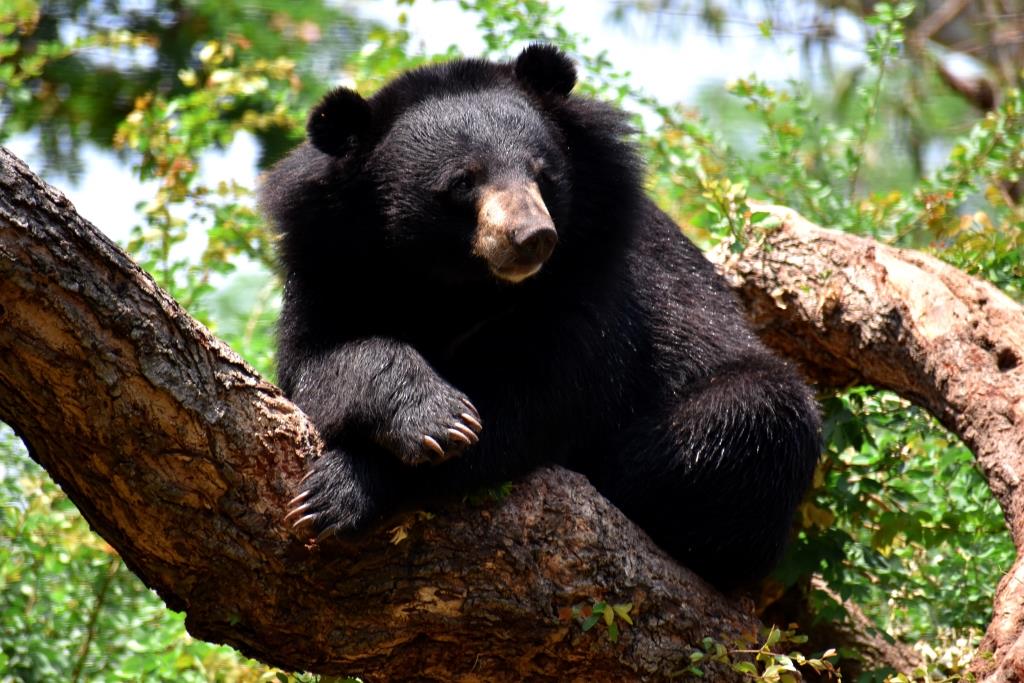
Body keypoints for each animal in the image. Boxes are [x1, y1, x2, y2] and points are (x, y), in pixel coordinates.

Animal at [260, 44, 821, 590]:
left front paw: (347, 486)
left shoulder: (593, 279)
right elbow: (320, 363)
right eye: (463, 182)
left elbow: (535, 399)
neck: (456, 284)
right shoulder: (329, 266)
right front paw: (432, 417)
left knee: (754, 413)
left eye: (542, 174)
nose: (532, 237)